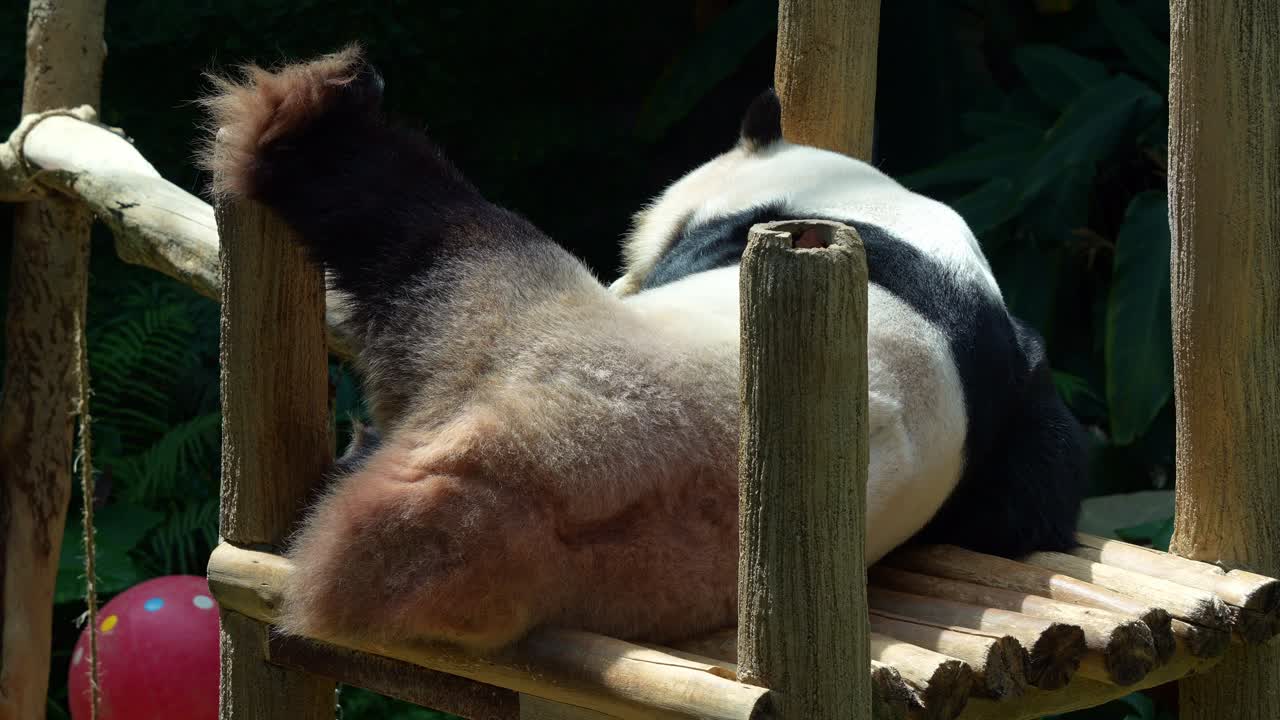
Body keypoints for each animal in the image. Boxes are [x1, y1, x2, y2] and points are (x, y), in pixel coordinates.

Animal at [201, 46, 1085, 653]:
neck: (873, 200)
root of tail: (515, 492)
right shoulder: (1022, 380)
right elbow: (1030, 503)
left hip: (512, 318)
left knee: (415, 222)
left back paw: (311, 111)